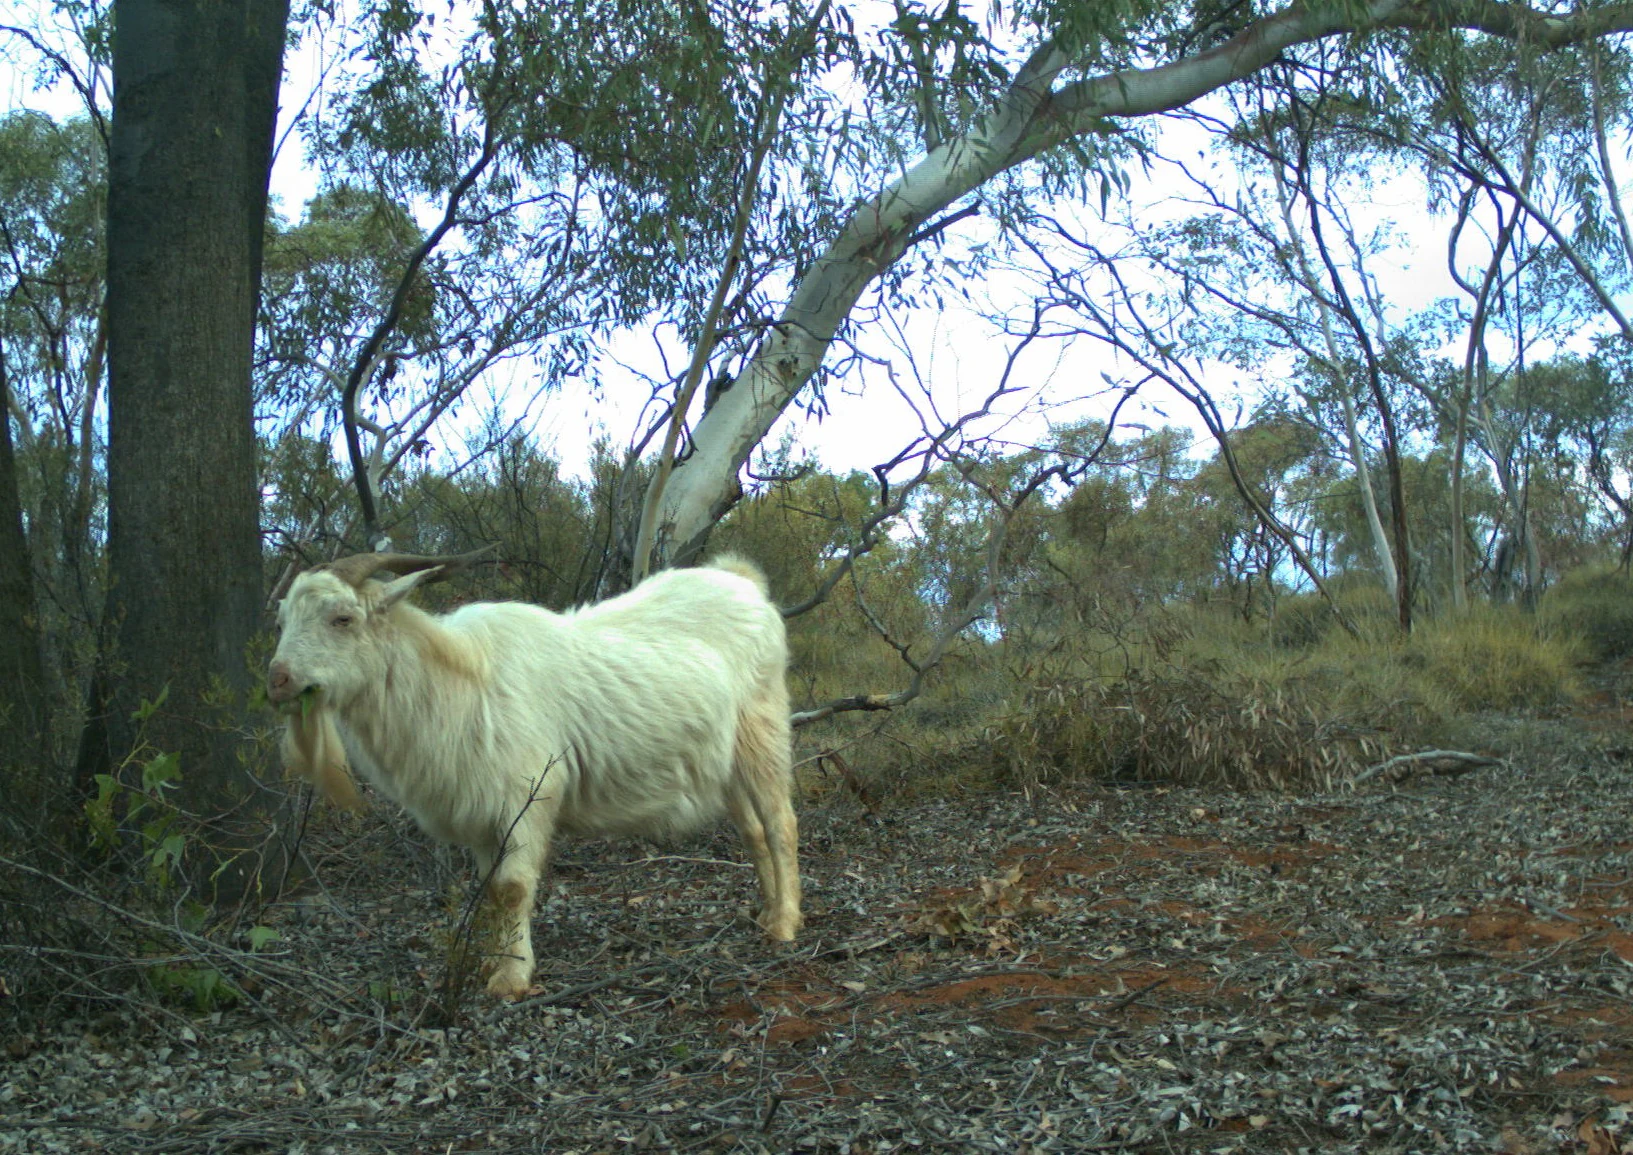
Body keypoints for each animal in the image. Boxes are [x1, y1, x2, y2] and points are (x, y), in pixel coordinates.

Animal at [267, 550, 801, 999]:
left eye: (342, 618)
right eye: (283, 620)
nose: (277, 680)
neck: (459, 681)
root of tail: (743, 581)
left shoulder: (527, 794)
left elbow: (512, 888)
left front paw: (512, 977)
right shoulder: (482, 815)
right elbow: (490, 891)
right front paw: (491, 962)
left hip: (763, 729)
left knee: (780, 824)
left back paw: (786, 923)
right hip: (725, 761)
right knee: (753, 830)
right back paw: (766, 910)